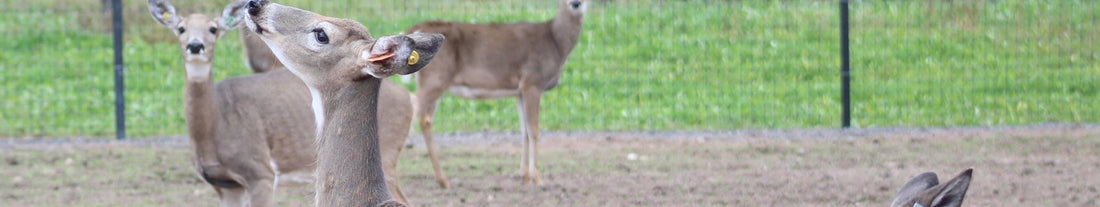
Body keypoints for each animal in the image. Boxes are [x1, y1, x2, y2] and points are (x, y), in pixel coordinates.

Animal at [146, 0, 415, 205]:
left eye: (322, 34)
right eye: (180, 28)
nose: (256, 4)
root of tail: (410, 98)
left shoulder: (261, 174)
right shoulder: (227, 184)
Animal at [404, 0, 589, 187]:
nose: (575, 3)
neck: (555, 41)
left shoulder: (519, 91)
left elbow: (524, 130)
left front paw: (523, 174)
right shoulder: (532, 81)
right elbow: (534, 130)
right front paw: (536, 177)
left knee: (423, 117)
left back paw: (440, 179)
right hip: (436, 79)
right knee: (417, 113)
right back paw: (440, 179)